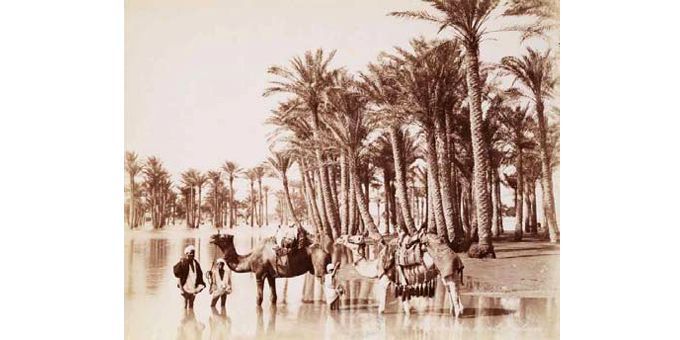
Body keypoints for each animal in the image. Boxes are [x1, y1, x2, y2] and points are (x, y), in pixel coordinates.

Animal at [336, 234, 464, 316]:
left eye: (351, 238)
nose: (339, 238)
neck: (376, 265)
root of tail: (455, 255)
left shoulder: (384, 280)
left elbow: (381, 310)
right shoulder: (402, 283)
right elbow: (406, 307)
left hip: (447, 270)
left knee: (454, 291)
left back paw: (458, 314)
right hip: (443, 273)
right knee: (452, 289)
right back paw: (454, 312)